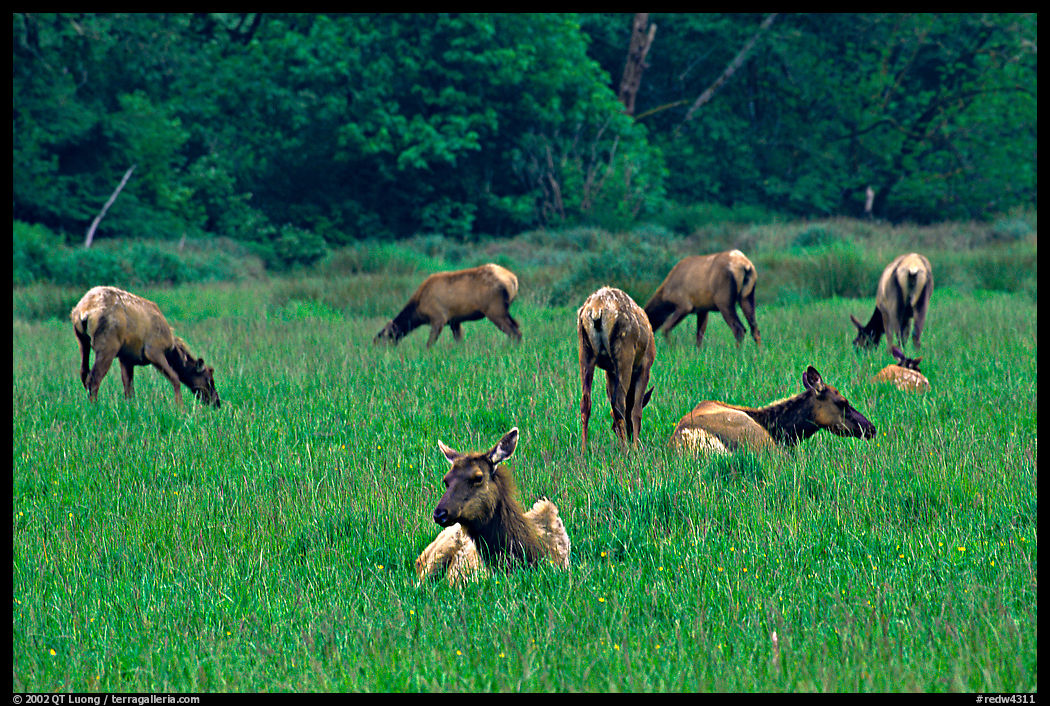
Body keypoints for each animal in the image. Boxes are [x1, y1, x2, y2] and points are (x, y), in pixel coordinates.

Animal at [70, 286, 220, 407]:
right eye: (209, 380)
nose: (217, 403)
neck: (172, 350)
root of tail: (83, 311)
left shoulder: (126, 358)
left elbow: (129, 389)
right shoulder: (153, 350)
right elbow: (175, 378)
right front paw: (180, 408)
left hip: (82, 341)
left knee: (84, 373)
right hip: (108, 345)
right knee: (94, 379)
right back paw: (95, 407)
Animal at [374, 263, 522, 348]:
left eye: (383, 339)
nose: (376, 349)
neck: (419, 311)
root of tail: (513, 280)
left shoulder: (438, 318)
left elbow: (429, 344)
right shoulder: (454, 321)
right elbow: (459, 341)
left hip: (495, 309)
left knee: (514, 332)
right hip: (503, 310)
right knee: (516, 327)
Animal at [577, 287, 655, 451]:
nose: (630, 435)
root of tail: (596, 308)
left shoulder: (609, 371)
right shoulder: (645, 366)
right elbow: (636, 410)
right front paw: (636, 448)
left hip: (585, 351)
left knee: (585, 402)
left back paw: (584, 450)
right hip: (624, 351)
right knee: (619, 402)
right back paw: (626, 451)